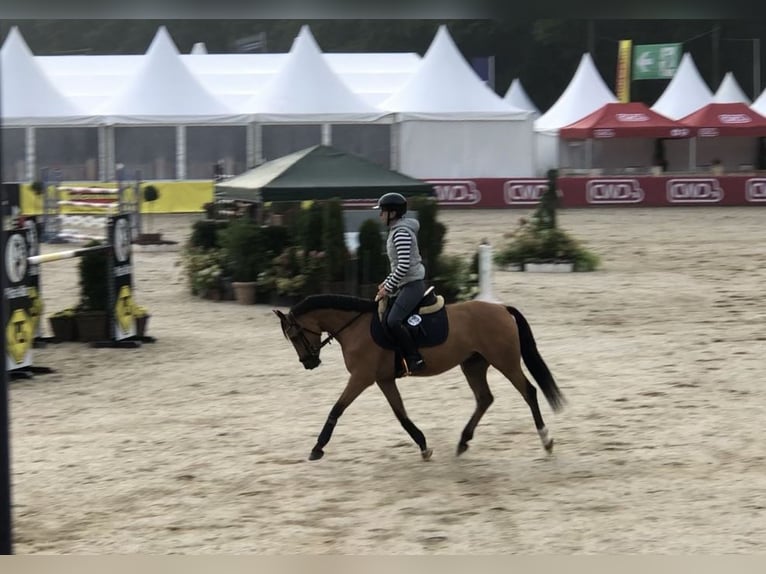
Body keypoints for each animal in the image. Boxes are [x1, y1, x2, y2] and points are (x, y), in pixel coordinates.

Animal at [274, 294, 564, 462]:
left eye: (295, 335)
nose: (309, 363)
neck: (355, 326)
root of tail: (502, 308)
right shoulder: (383, 380)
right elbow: (401, 414)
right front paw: (423, 445)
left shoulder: (361, 377)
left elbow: (337, 409)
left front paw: (317, 448)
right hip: (473, 364)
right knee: (484, 398)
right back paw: (463, 441)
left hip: (504, 361)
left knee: (529, 392)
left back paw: (547, 440)